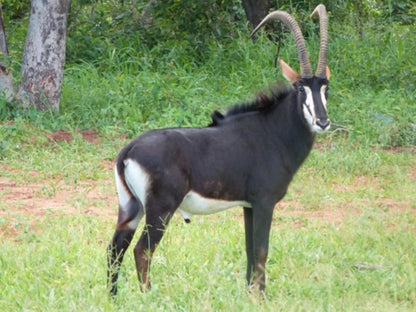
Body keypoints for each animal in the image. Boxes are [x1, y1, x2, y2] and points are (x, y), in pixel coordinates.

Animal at [107, 3, 332, 294]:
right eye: (301, 89)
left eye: (326, 89)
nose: (323, 122)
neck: (273, 131)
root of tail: (129, 150)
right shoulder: (264, 202)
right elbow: (262, 251)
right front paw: (261, 296)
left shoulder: (248, 205)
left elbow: (250, 251)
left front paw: (249, 293)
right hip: (160, 209)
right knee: (142, 250)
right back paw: (147, 296)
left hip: (130, 208)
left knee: (115, 248)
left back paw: (113, 297)